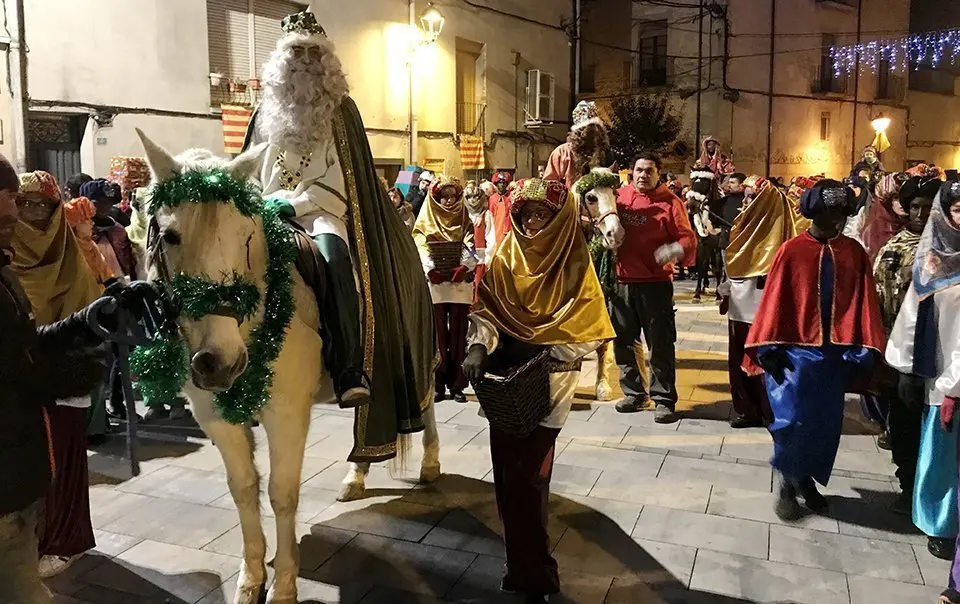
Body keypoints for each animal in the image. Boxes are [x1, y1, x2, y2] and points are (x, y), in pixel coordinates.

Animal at [136, 132, 442, 604]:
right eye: (169, 236)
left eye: (246, 235)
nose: (219, 363)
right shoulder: (213, 416)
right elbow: (244, 490)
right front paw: (250, 578)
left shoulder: (286, 413)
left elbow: (282, 494)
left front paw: (282, 586)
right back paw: (356, 475)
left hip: (420, 358)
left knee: (425, 409)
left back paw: (429, 464)